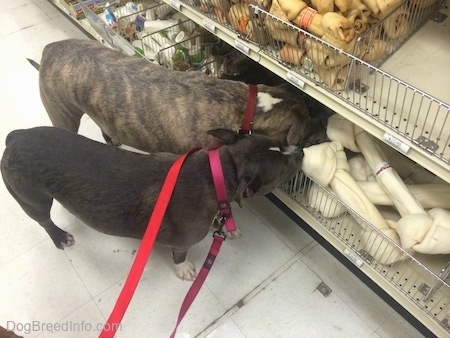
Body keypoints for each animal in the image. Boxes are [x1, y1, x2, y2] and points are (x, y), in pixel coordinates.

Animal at [1, 127, 304, 280]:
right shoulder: (183, 240)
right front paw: (183, 268)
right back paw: (59, 236)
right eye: (284, 170)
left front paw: (228, 224)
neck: (221, 170)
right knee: (43, 220)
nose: (300, 150)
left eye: (280, 141)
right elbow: (180, 254)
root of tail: (15, 136)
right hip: (31, 199)